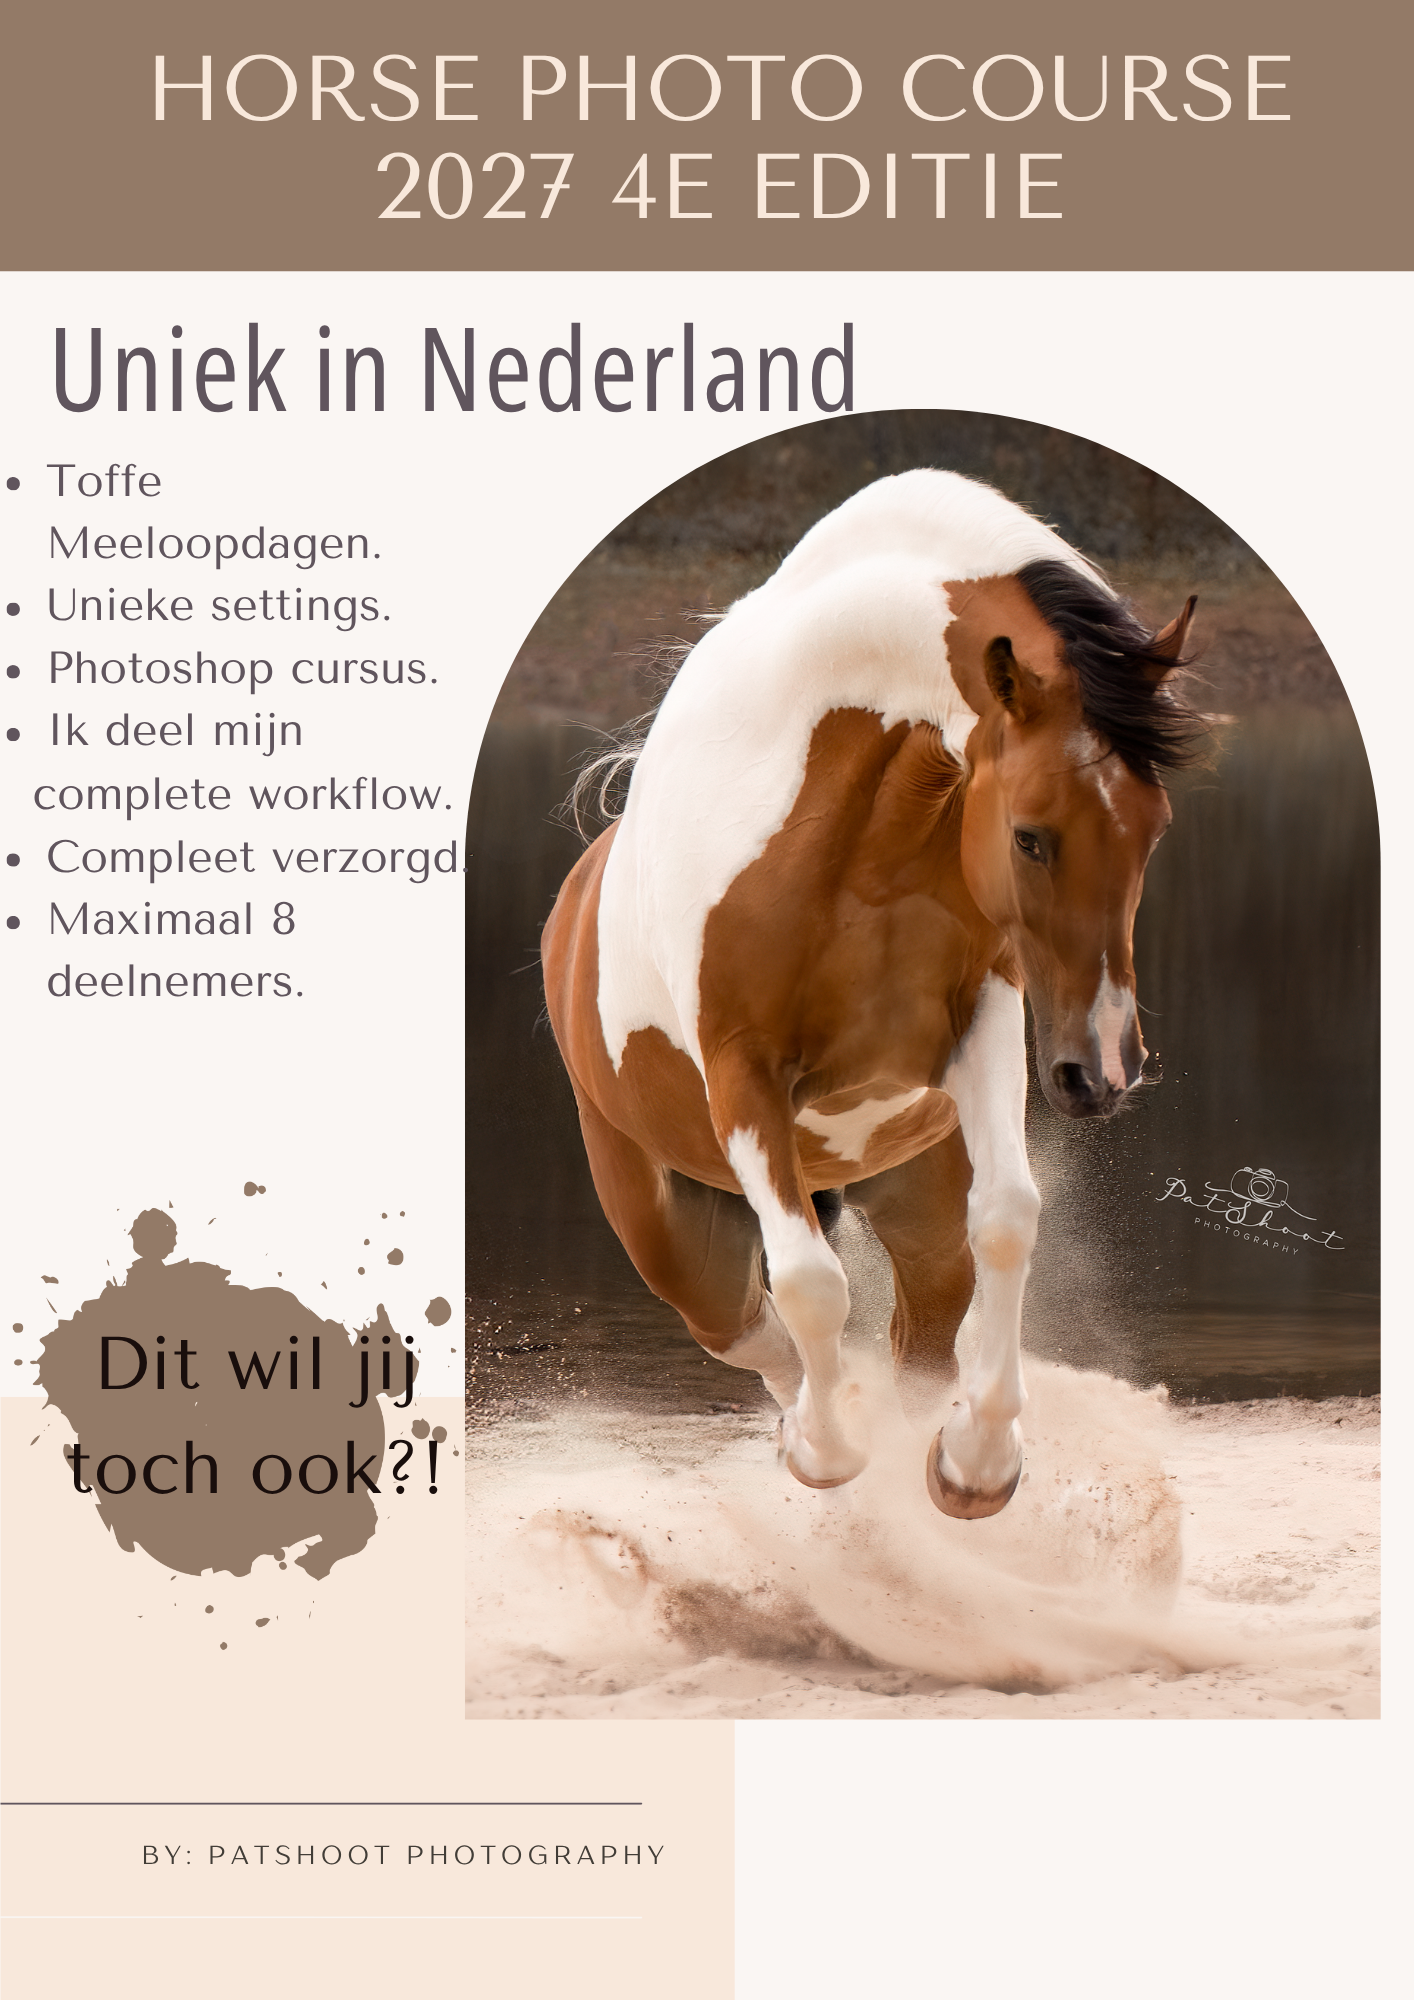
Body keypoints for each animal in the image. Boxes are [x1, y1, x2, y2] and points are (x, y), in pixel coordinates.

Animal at [541, 468, 1200, 1519]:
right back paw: (814, 1427)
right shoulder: (744, 1076)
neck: (864, 834)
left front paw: (976, 1462)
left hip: (914, 1195)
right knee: (750, 1323)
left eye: (1154, 824)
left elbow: (1009, 1217)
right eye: (1030, 835)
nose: (1101, 1071)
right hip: (674, 1232)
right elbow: (812, 1284)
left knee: (922, 1327)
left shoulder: (982, 1028)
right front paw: (827, 1448)